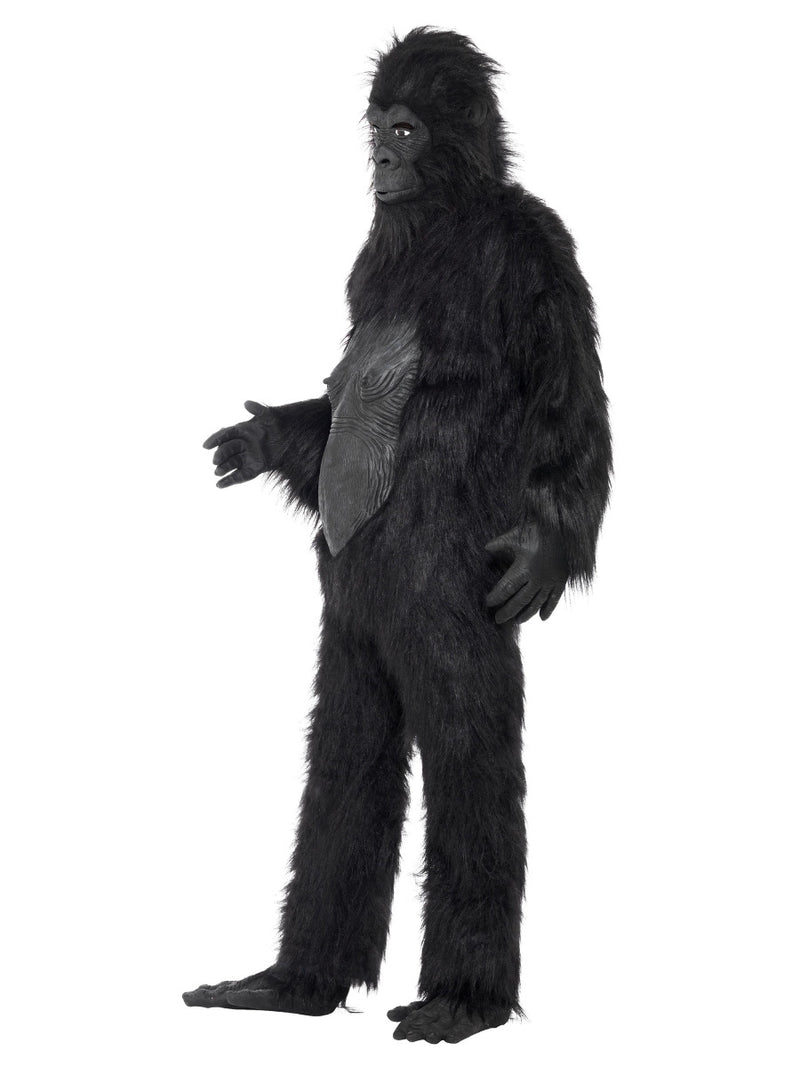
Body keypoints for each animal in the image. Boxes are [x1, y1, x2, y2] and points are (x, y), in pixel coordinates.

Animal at [183, 27, 612, 1045]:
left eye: (409, 129)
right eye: (379, 125)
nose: (380, 159)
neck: (448, 220)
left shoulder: (541, 256)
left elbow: (572, 416)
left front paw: (540, 555)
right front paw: (259, 440)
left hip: (440, 616)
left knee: (468, 751)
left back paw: (463, 1000)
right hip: (355, 631)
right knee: (346, 748)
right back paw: (293, 984)